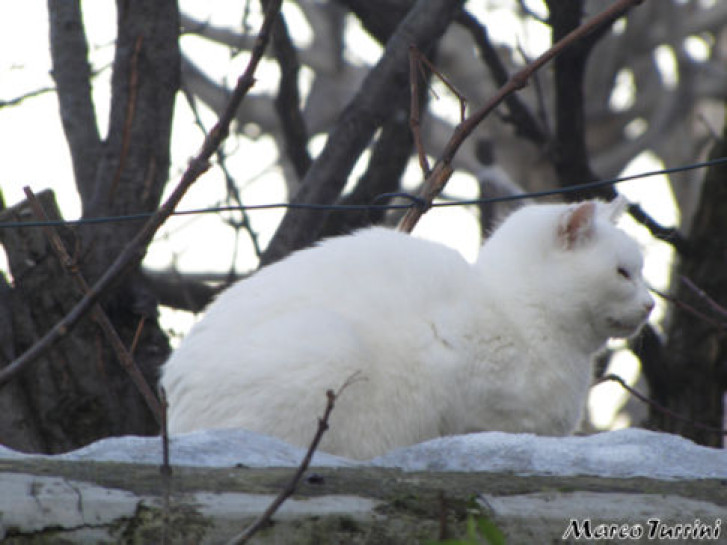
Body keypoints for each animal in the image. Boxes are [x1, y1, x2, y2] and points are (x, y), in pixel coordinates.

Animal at [161, 198, 656, 456]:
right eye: (623, 274)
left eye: (641, 271)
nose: (651, 304)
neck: (517, 309)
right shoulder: (466, 391)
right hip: (329, 347)